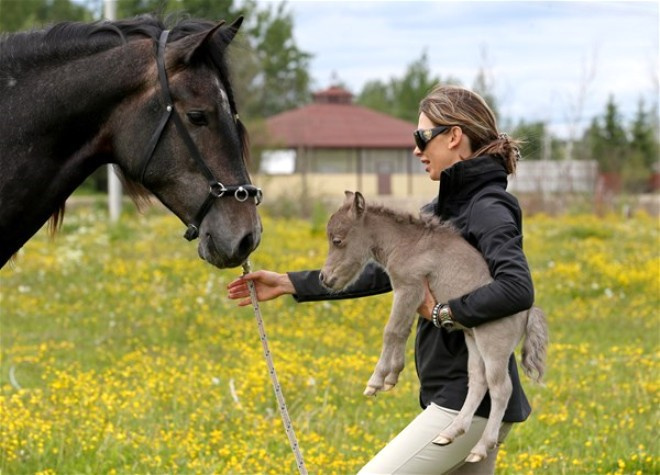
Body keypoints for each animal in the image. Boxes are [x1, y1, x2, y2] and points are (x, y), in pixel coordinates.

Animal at [320, 191, 548, 464]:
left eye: (337, 240)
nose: (324, 278)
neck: (406, 243)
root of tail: (528, 312)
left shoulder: (409, 288)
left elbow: (391, 332)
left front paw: (375, 381)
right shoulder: (409, 295)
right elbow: (402, 332)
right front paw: (392, 376)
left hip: (493, 347)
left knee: (501, 388)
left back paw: (480, 447)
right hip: (473, 342)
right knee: (478, 381)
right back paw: (451, 432)